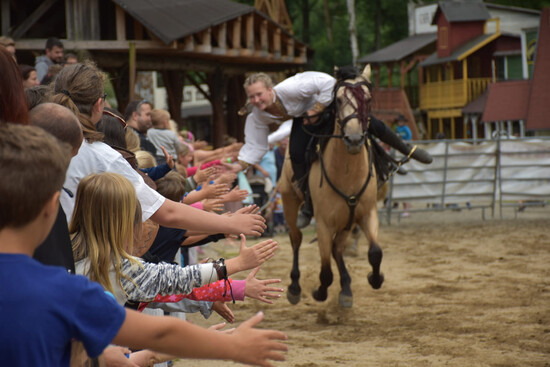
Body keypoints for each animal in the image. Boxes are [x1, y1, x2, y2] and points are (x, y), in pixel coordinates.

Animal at [280, 64, 384, 310]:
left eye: (368, 98)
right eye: (338, 100)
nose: (354, 139)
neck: (347, 173)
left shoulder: (367, 214)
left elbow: (375, 252)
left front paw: (375, 278)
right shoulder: (324, 225)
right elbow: (325, 271)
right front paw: (319, 292)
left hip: (347, 222)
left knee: (338, 248)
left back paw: (346, 288)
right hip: (289, 203)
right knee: (296, 239)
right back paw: (295, 287)